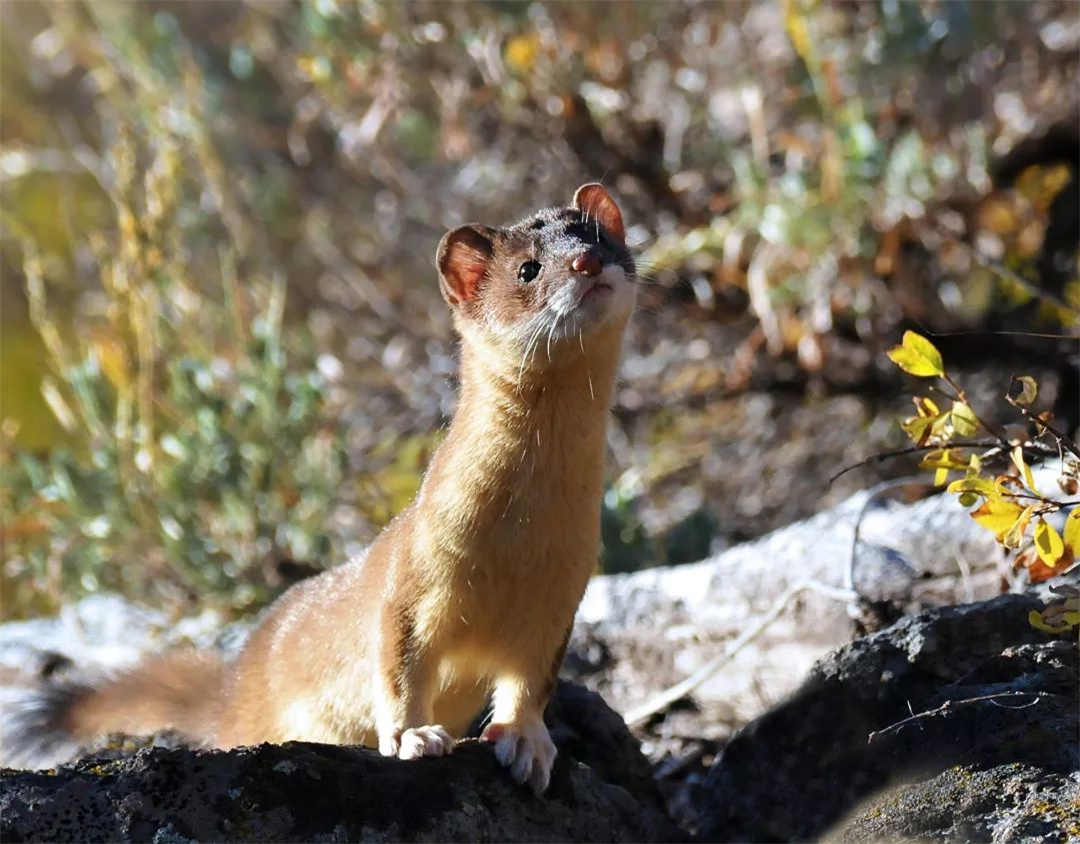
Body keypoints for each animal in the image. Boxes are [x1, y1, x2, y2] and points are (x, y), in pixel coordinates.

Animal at [4, 181, 635, 795]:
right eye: (527, 269)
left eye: (599, 237)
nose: (586, 262)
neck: (518, 542)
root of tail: (235, 683)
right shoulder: (414, 575)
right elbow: (399, 665)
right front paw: (414, 736)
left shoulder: (560, 597)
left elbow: (530, 684)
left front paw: (527, 744)